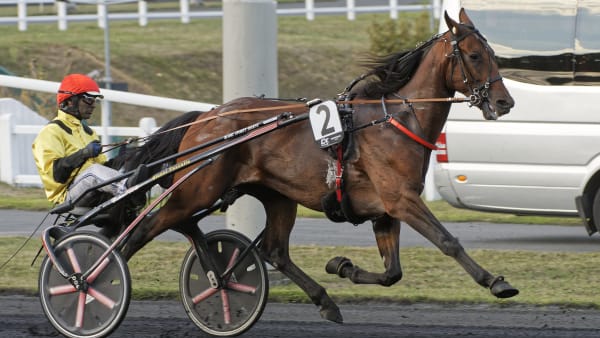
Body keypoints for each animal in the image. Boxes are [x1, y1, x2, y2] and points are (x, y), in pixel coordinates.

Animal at [116, 8, 516, 322]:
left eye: (493, 54)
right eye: (474, 56)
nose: (504, 101)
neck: (393, 121)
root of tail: (204, 118)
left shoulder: (384, 210)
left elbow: (392, 273)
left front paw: (342, 266)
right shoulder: (401, 199)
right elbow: (447, 241)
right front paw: (496, 282)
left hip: (275, 196)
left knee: (273, 250)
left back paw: (321, 300)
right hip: (197, 190)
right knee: (144, 229)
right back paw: (104, 286)